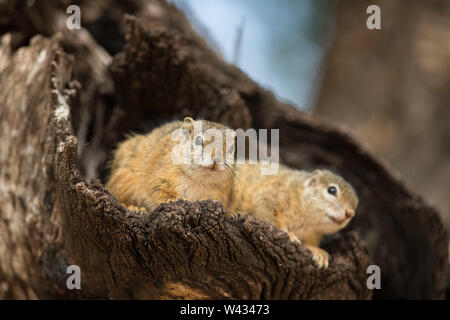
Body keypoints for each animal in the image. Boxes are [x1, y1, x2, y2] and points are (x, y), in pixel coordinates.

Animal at [107, 117, 237, 212]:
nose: (217, 159)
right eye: (198, 140)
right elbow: (159, 193)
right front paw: (173, 201)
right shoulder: (160, 178)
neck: (198, 180)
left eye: (231, 148)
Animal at [229, 164, 358, 268]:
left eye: (356, 205)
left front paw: (317, 251)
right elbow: (267, 212)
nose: (350, 214)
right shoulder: (270, 195)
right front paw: (288, 234)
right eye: (332, 190)